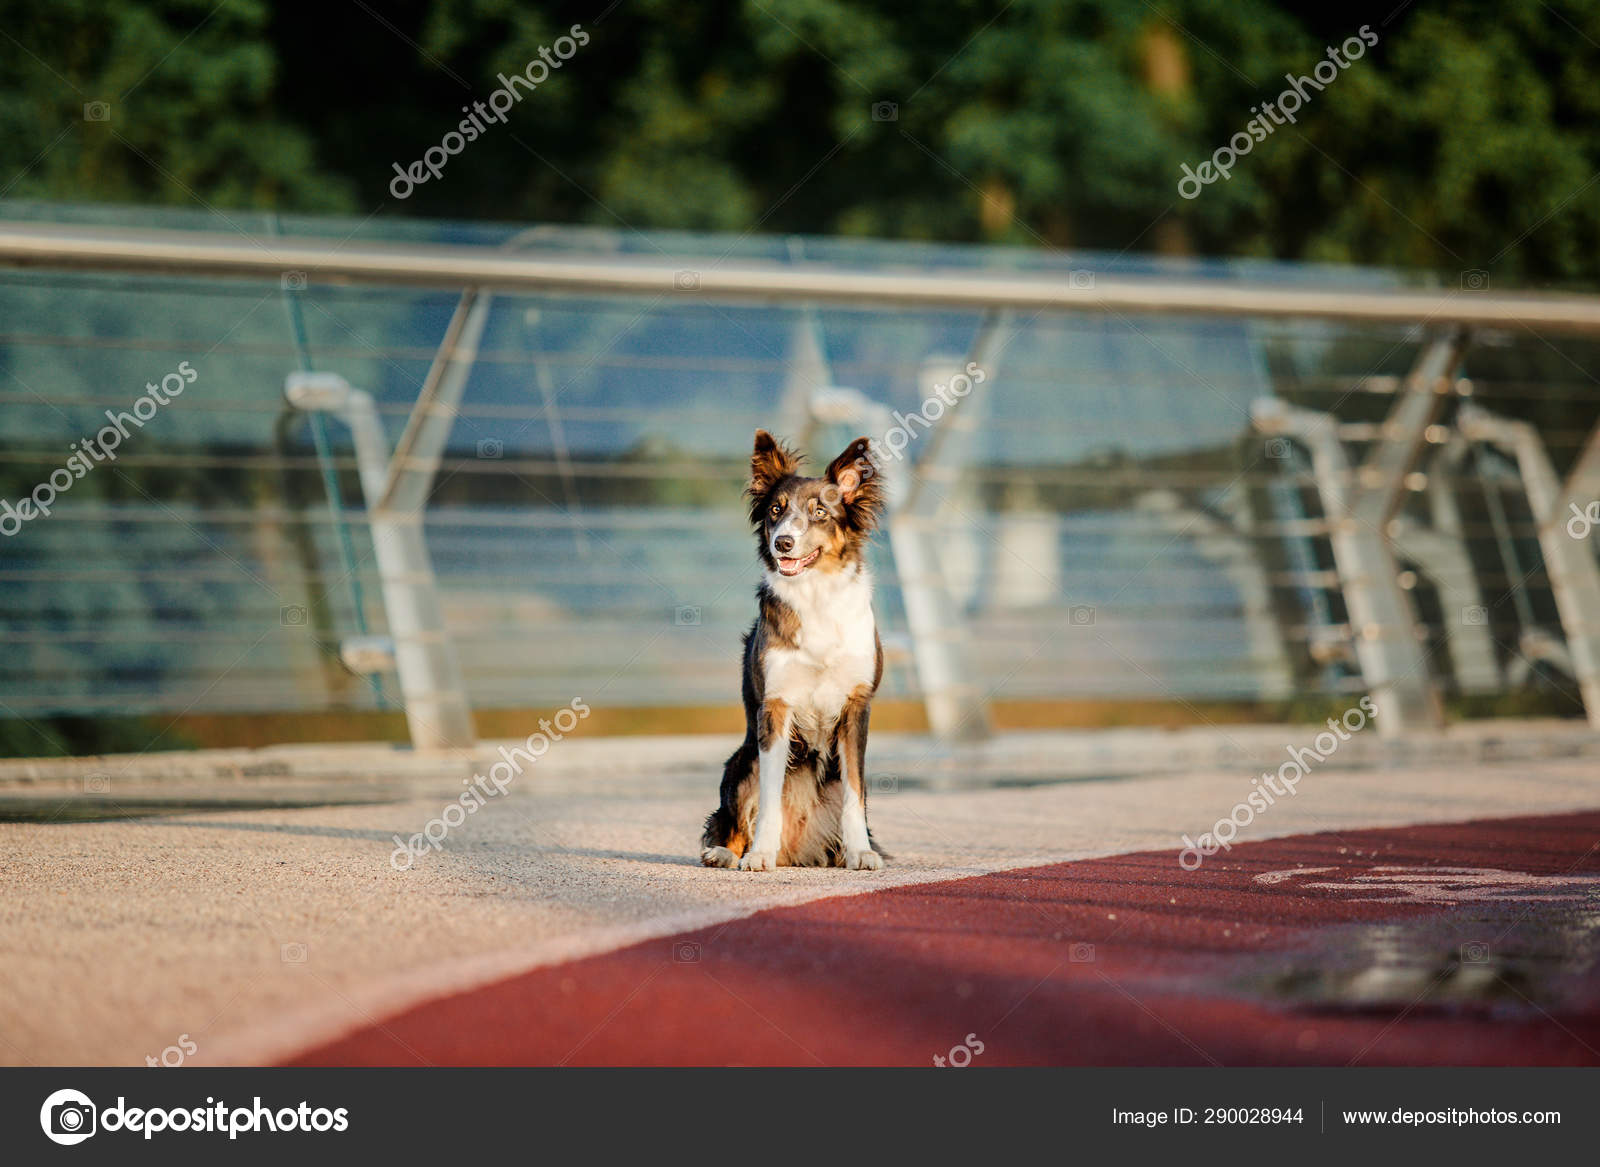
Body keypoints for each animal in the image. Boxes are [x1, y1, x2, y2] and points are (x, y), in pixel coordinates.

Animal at [700, 429, 889, 864]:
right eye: (775, 510)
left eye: (819, 512)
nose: (782, 542)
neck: (815, 593)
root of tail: (796, 849)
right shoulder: (776, 706)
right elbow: (770, 798)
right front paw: (759, 856)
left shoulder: (857, 708)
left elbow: (855, 796)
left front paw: (861, 852)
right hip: (743, 762)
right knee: (734, 822)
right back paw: (728, 854)